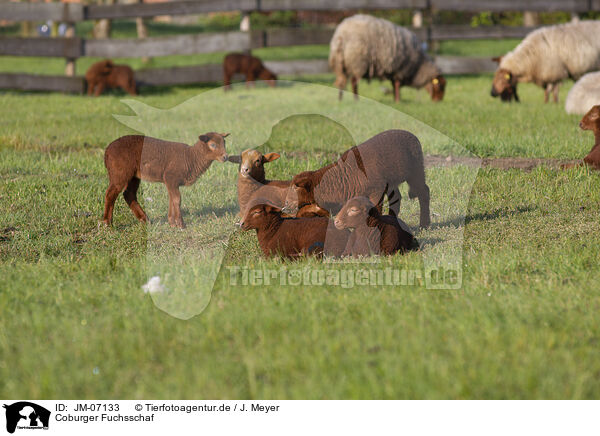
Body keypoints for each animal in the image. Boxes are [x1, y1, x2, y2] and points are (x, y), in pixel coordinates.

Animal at [282, 129, 428, 230]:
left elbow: (375, 208)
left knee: (424, 191)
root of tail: (412, 136)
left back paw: (425, 224)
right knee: (397, 198)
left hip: (416, 171)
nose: (285, 204)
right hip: (392, 182)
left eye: (295, 187)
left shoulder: (377, 189)